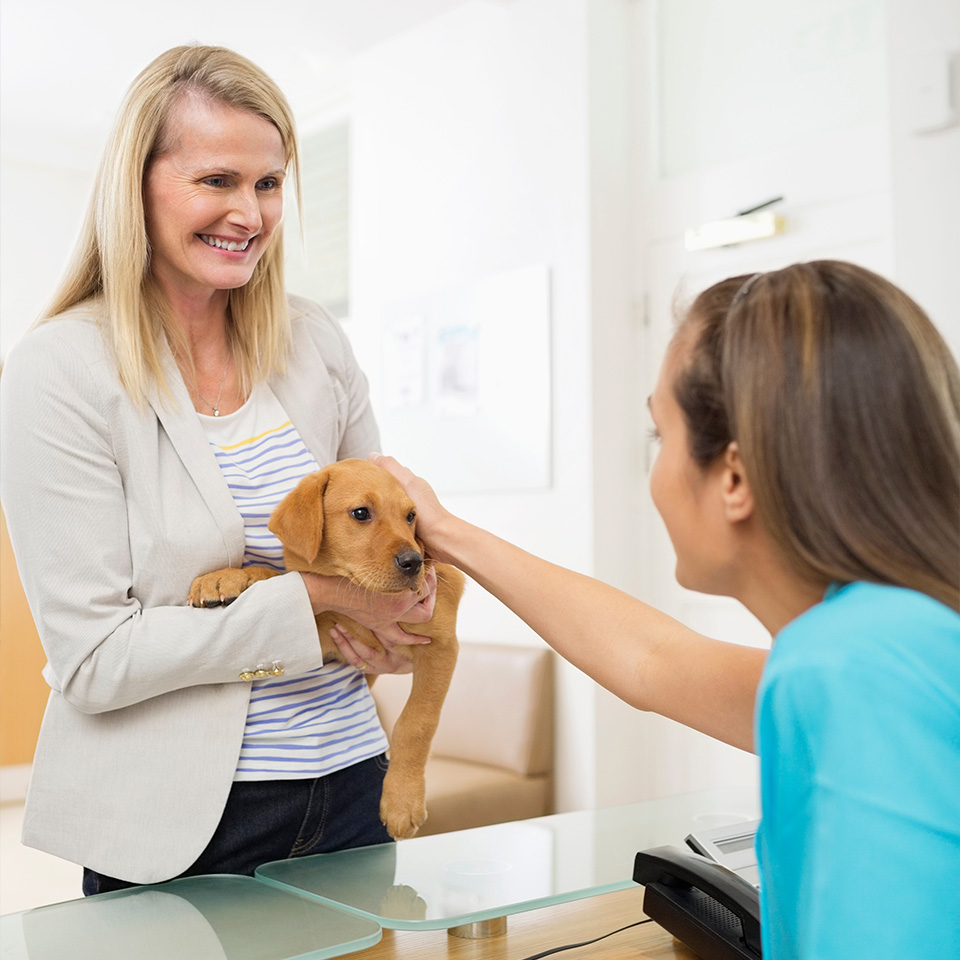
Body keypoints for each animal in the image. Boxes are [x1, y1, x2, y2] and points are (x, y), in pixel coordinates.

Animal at [188, 460, 464, 840]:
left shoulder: (441, 646)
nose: (414, 562)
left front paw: (402, 800)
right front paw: (228, 576)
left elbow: (416, 722)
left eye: (411, 516)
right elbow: (277, 576)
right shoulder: (320, 634)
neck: (357, 591)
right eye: (361, 513)